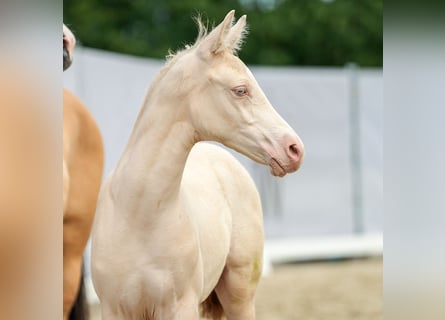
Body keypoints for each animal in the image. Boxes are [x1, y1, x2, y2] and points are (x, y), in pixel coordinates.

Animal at [92, 10, 304, 320]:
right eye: (240, 90)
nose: (294, 149)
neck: (138, 214)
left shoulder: (182, 307)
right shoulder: (115, 310)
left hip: (240, 295)